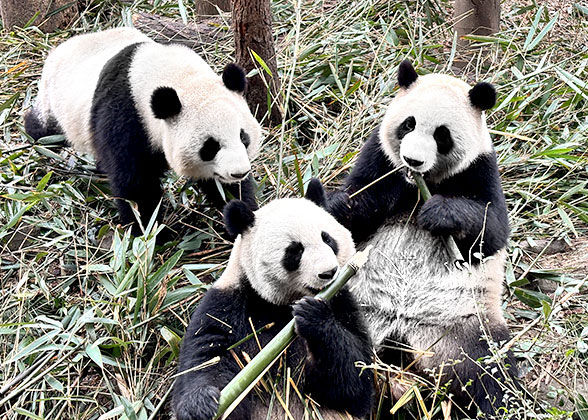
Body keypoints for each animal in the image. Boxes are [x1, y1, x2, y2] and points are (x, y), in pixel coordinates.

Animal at [25, 28, 260, 233]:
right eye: (210, 146)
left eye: (243, 137)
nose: (238, 172)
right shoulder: (125, 115)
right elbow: (135, 183)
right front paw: (150, 232)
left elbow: (225, 189)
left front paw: (240, 215)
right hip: (55, 104)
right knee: (44, 128)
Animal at [172, 178, 372, 420]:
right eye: (295, 250)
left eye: (327, 239)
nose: (328, 272)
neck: (279, 305)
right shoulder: (226, 303)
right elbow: (207, 358)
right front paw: (200, 404)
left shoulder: (342, 302)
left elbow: (355, 384)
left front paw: (314, 317)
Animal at [328, 61, 520, 416]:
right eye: (409, 124)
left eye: (442, 135)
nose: (413, 161)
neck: (420, 183)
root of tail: (398, 333)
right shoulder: (380, 157)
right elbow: (358, 207)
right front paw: (334, 204)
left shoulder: (480, 167)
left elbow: (492, 231)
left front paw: (439, 213)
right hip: (351, 300)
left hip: (463, 327)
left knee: (492, 373)